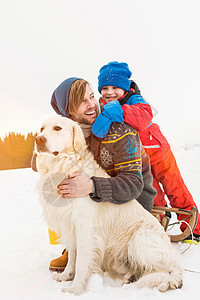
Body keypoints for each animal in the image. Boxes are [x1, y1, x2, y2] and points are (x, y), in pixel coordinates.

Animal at [35, 116, 184, 294]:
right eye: (41, 129)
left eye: (57, 128)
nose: (38, 139)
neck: (63, 164)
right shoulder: (70, 225)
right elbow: (72, 255)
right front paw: (66, 276)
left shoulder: (84, 227)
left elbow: (81, 262)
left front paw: (75, 288)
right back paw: (131, 277)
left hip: (139, 240)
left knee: (174, 267)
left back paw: (169, 281)